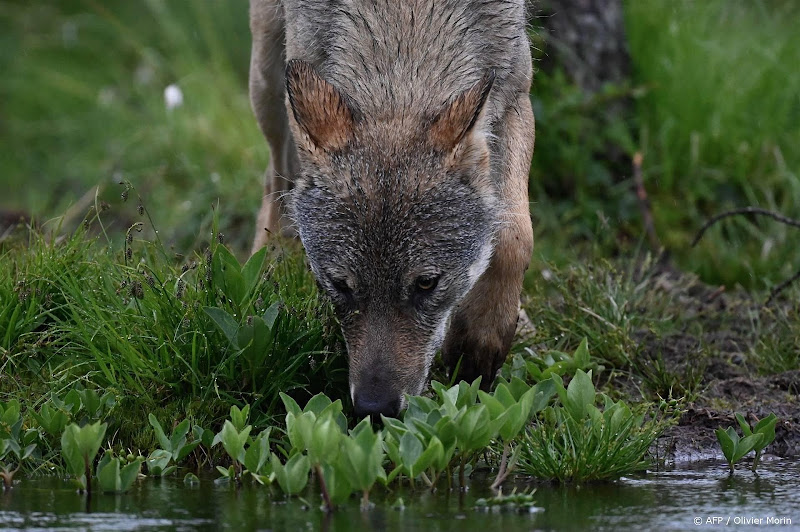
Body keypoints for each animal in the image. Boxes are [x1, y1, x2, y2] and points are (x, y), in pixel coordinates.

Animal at [248, 0, 535, 418]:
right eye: (340, 285)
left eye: (426, 283)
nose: (374, 408)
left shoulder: (516, 92)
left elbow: (514, 238)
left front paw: (480, 343)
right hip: (268, 77)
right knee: (275, 180)